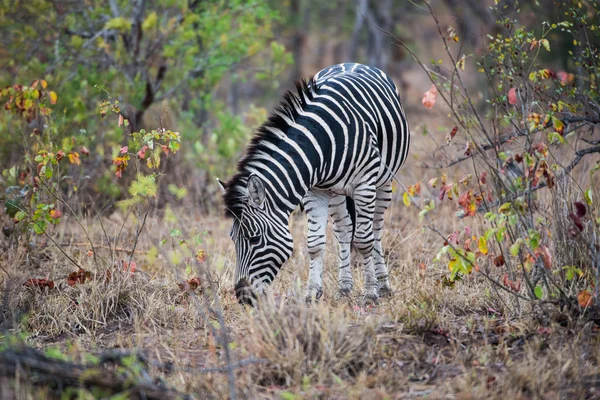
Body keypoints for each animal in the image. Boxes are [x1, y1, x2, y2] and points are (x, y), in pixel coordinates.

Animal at [218, 62, 410, 304]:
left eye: (254, 238)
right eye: (233, 239)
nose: (243, 297)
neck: (323, 142)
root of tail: (354, 63)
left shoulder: (365, 184)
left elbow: (363, 241)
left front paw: (370, 294)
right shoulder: (314, 191)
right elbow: (315, 243)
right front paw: (311, 293)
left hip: (384, 180)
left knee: (375, 228)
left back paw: (383, 284)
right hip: (335, 191)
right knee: (344, 230)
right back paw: (344, 286)